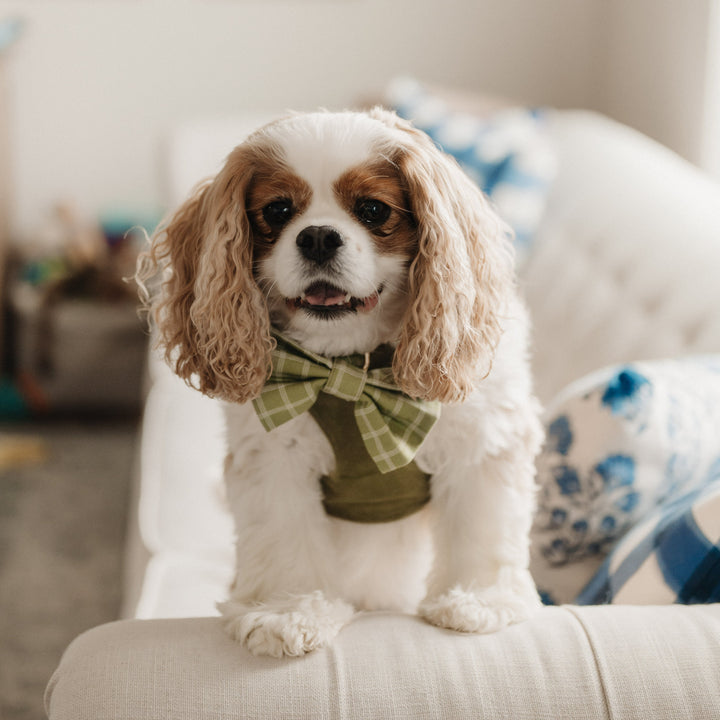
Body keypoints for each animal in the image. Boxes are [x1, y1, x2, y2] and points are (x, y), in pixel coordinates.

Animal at [138, 108, 544, 660]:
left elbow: (482, 529)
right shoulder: (275, 462)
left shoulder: (482, 447)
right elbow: (285, 538)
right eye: (278, 210)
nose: (317, 236)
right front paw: (289, 611)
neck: (351, 369)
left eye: (373, 210)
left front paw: (477, 602)